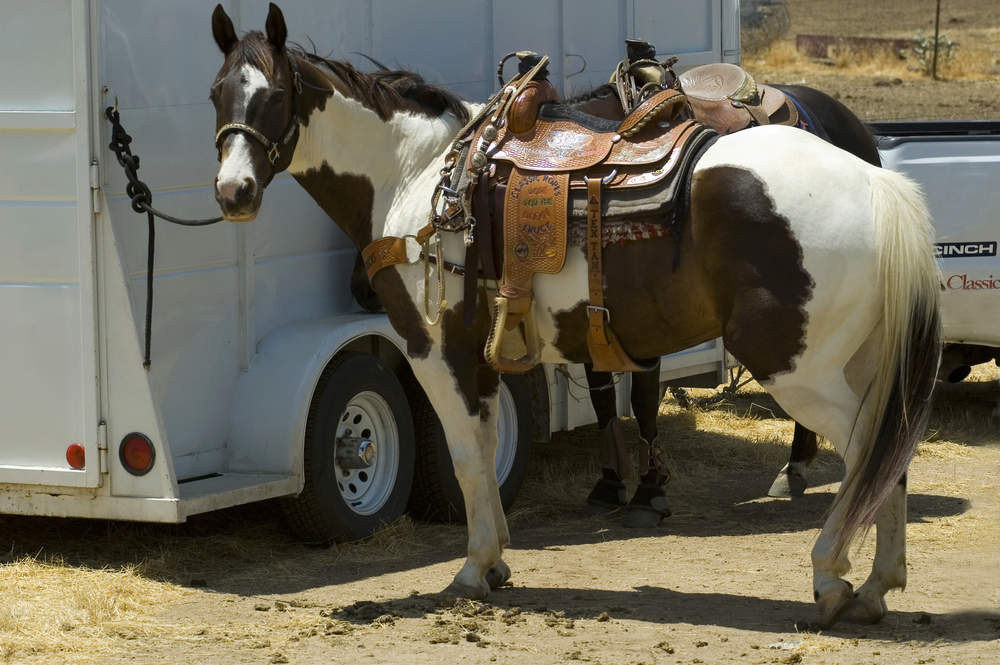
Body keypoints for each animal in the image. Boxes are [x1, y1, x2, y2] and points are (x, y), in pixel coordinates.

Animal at [209, 4, 940, 627]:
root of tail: (877, 183)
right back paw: (877, 585)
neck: (421, 179)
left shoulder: (437, 352)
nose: (233, 192)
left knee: (869, 451)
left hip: (798, 369)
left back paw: (830, 578)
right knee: (891, 452)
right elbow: (481, 453)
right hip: (859, 360)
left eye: (274, 95)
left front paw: (473, 571)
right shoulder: (483, 357)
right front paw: (494, 561)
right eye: (218, 93)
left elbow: (467, 457)